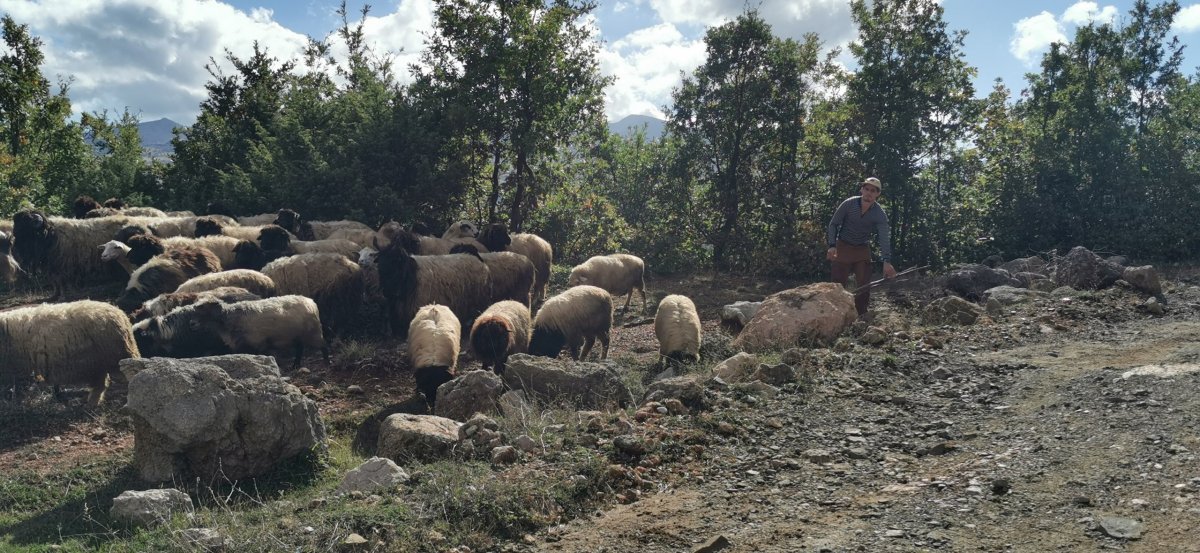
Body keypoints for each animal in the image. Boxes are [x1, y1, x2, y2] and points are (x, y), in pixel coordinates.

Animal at [1, 300, 139, 406]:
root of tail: (119, 313)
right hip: (97, 363)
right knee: (101, 384)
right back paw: (92, 403)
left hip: (117, 355)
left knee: (131, 374)